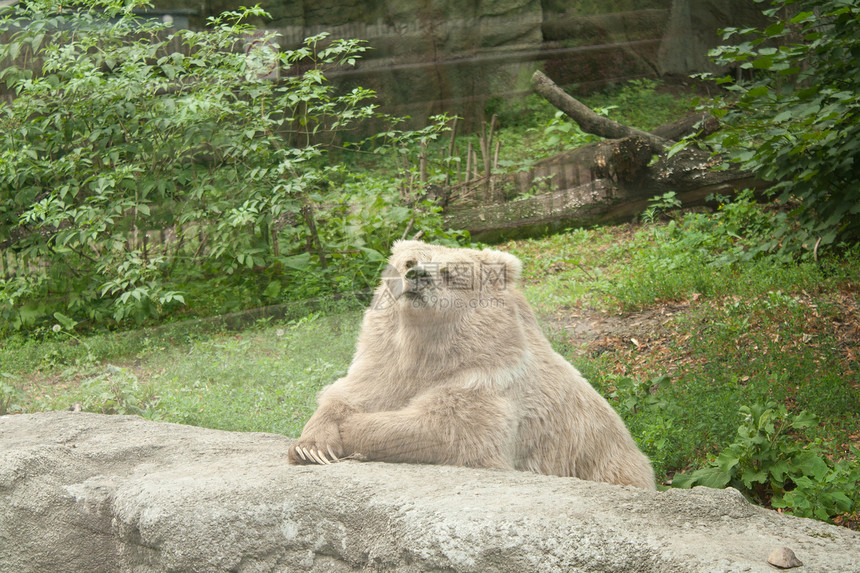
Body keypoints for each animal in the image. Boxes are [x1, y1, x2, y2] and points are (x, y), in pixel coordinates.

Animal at [288, 239, 660, 490]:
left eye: (451, 272)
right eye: (409, 260)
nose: (418, 276)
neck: (429, 350)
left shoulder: (489, 379)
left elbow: (448, 428)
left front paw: (351, 433)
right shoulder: (386, 364)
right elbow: (350, 391)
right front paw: (310, 446)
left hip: (607, 463)